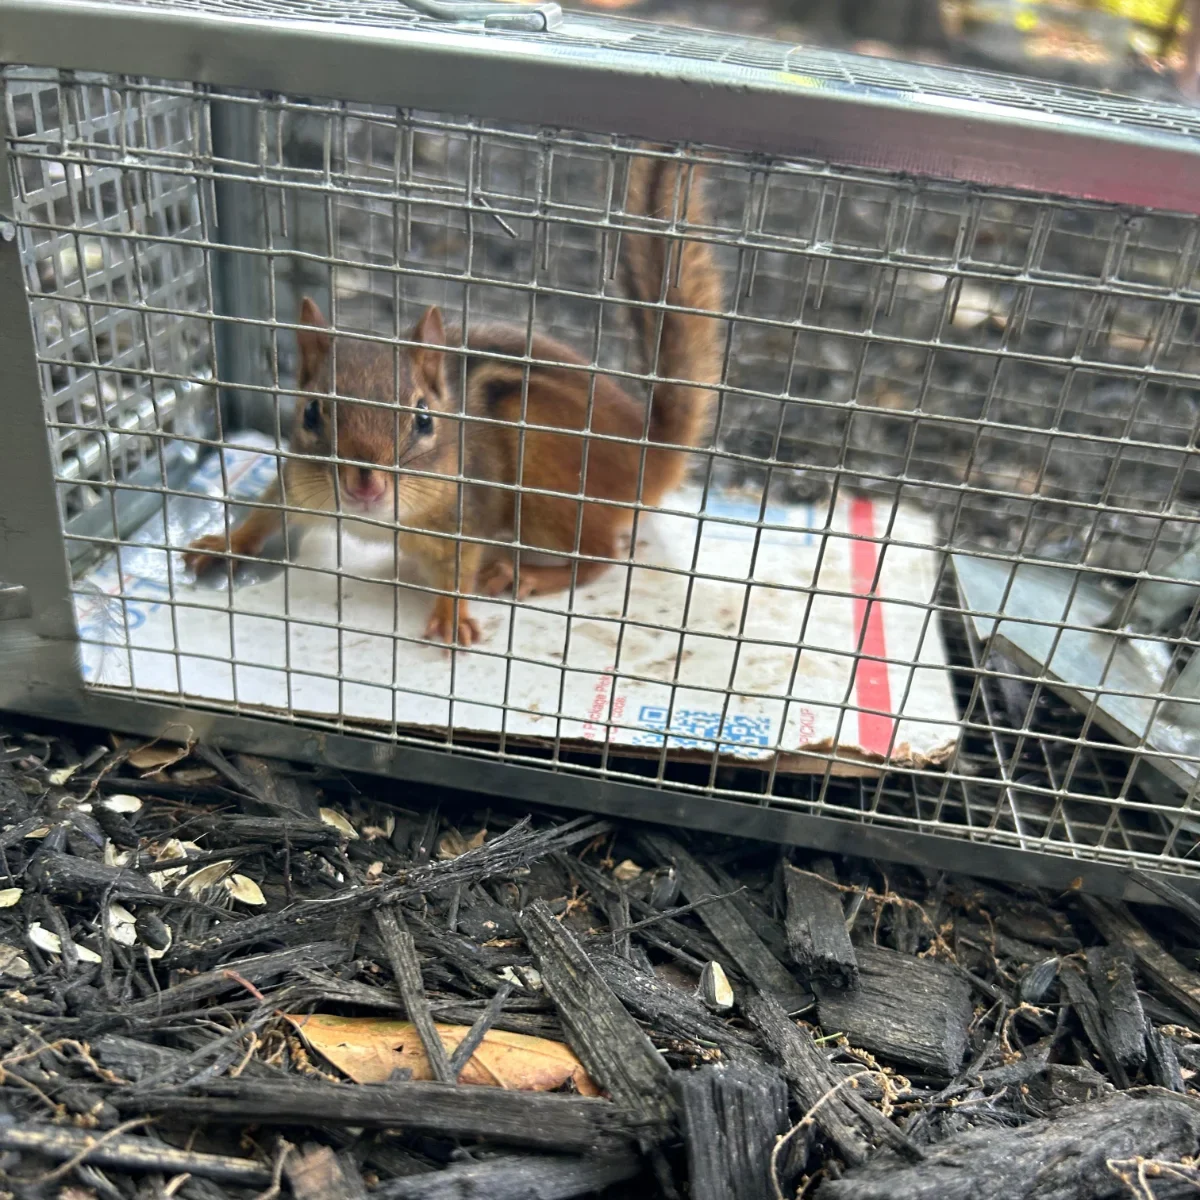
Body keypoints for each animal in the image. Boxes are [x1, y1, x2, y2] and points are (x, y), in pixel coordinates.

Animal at [185, 148, 723, 646]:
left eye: (424, 419)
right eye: (312, 412)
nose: (365, 486)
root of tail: (650, 448)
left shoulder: (467, 514)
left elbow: (461, 569)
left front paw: (452, 616)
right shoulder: (299, 481)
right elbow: (266, 510)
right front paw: (224, 542)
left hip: (546, 478)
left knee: (601, 555)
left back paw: (524, 573)